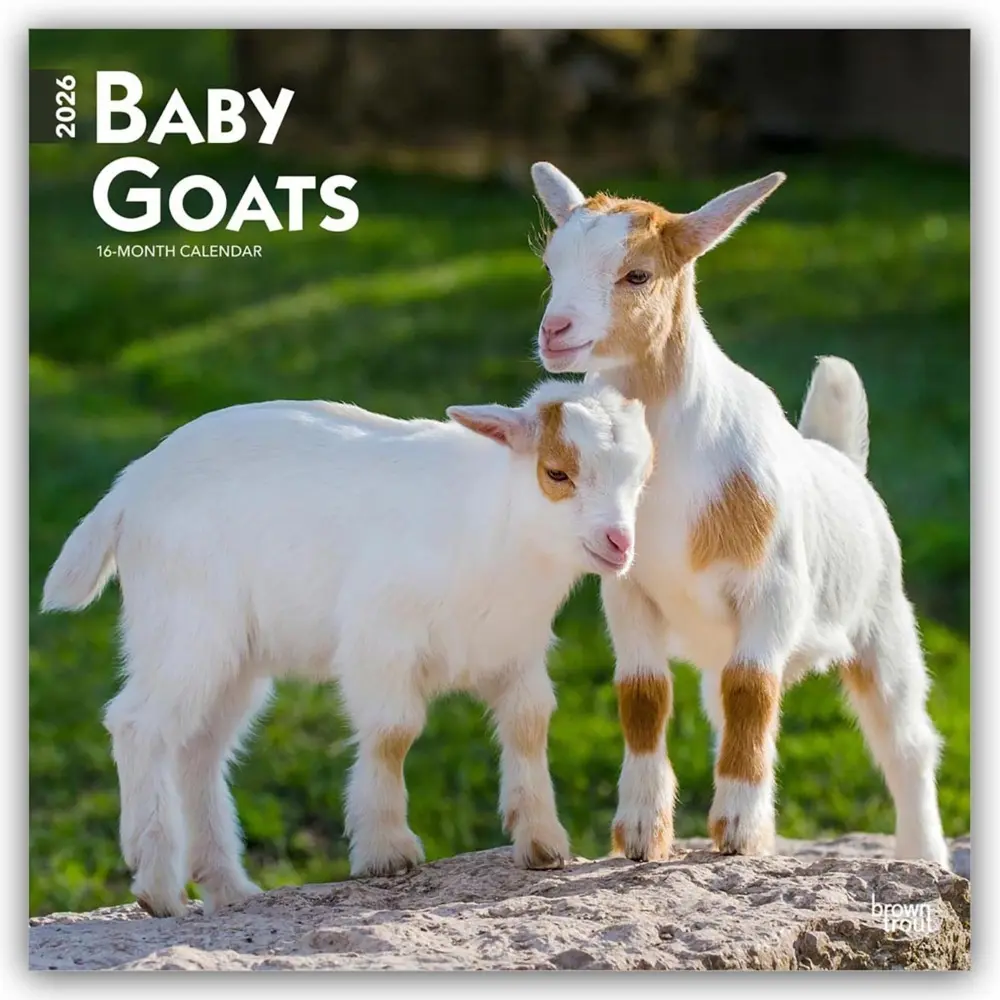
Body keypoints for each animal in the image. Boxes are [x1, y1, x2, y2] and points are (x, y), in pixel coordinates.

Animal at [41, 380, 655, 916]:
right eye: (556, 472)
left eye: (641, 475)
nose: (619, 543)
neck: (495, 525)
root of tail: (126, 494)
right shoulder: (379, 639)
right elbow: (392, 733)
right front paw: (387, 850)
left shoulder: (515, 651)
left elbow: (529, 725)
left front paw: (543, 843)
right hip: (186, 627)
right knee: (138, 724)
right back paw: (159, 889)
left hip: (235, 659)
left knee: (200, 748)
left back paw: (229, 889)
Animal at [529, 161, 950, 868]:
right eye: (551, 262)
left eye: (637, 274)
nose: (554, 332)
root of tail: (839, 457)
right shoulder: (627, 590)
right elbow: (644, 695)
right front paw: (641, 834)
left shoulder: (773, 589)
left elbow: (754, 689)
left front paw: (738, 833)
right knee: (726, 708)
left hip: (884, 621)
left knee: (904, 741)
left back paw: (925, 857)